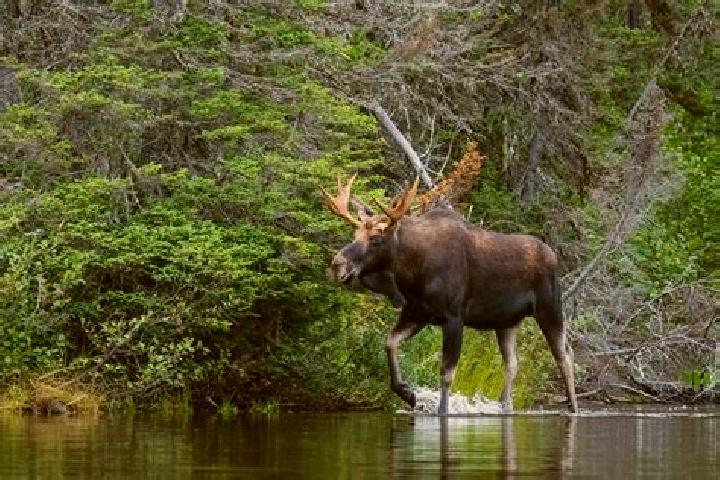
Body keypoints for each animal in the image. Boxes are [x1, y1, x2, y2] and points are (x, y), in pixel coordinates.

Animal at [321, 174, 578, 415]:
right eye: (354, 235)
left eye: (375, 238)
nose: (337, 265)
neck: (411, 272)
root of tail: (553, 255)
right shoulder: (416, 313)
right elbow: (389, 342)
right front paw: (407, 393)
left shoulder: (454, 317)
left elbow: (446, 373)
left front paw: (441, 410)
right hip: (506, 321)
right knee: (513, 363)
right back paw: (505, 405)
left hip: (550, 307)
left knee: (564, 355)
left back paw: (573, 407)